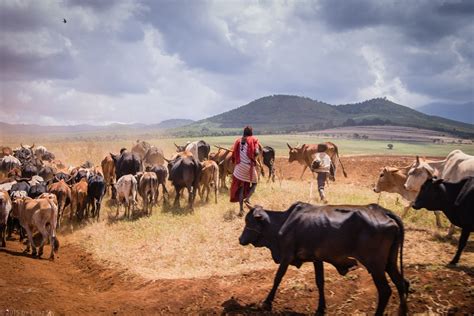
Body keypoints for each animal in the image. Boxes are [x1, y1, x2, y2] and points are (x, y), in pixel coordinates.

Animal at [241, 202, 408, 316]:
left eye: (249, 221)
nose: (240, 240)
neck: (283, 222)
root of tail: (384, 212)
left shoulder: (287, 255)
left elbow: (278, 278)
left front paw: (266, 303)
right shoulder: (317, 258)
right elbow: (320, 282)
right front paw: (321, 308)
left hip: (375, 265)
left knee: (385, 291)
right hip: (390, 263)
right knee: (402, 284)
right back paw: (403, 311)